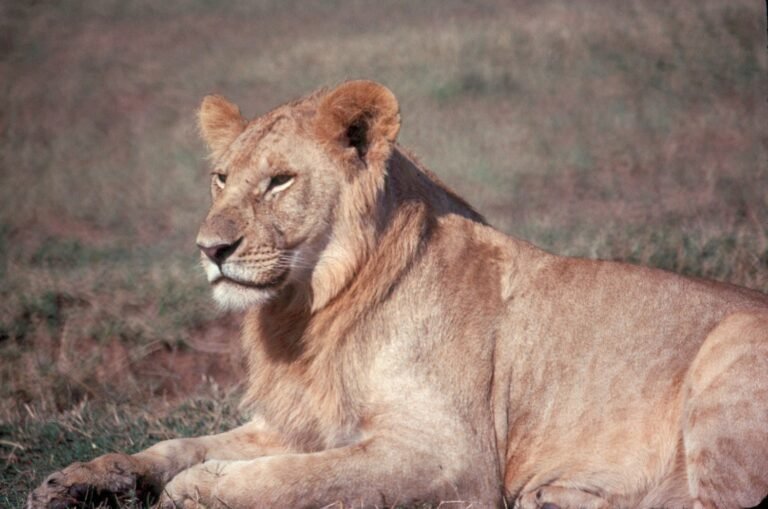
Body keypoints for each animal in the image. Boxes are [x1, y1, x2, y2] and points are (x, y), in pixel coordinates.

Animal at [28, 80, 768, 509]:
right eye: (221, 177)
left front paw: (204, 488)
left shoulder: (449, 452)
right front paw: (83, 476)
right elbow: (178, 443)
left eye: (279, 181)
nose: (210, 250)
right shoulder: (293, 422)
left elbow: (307, 478)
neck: (306, 314)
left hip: (729, 354)